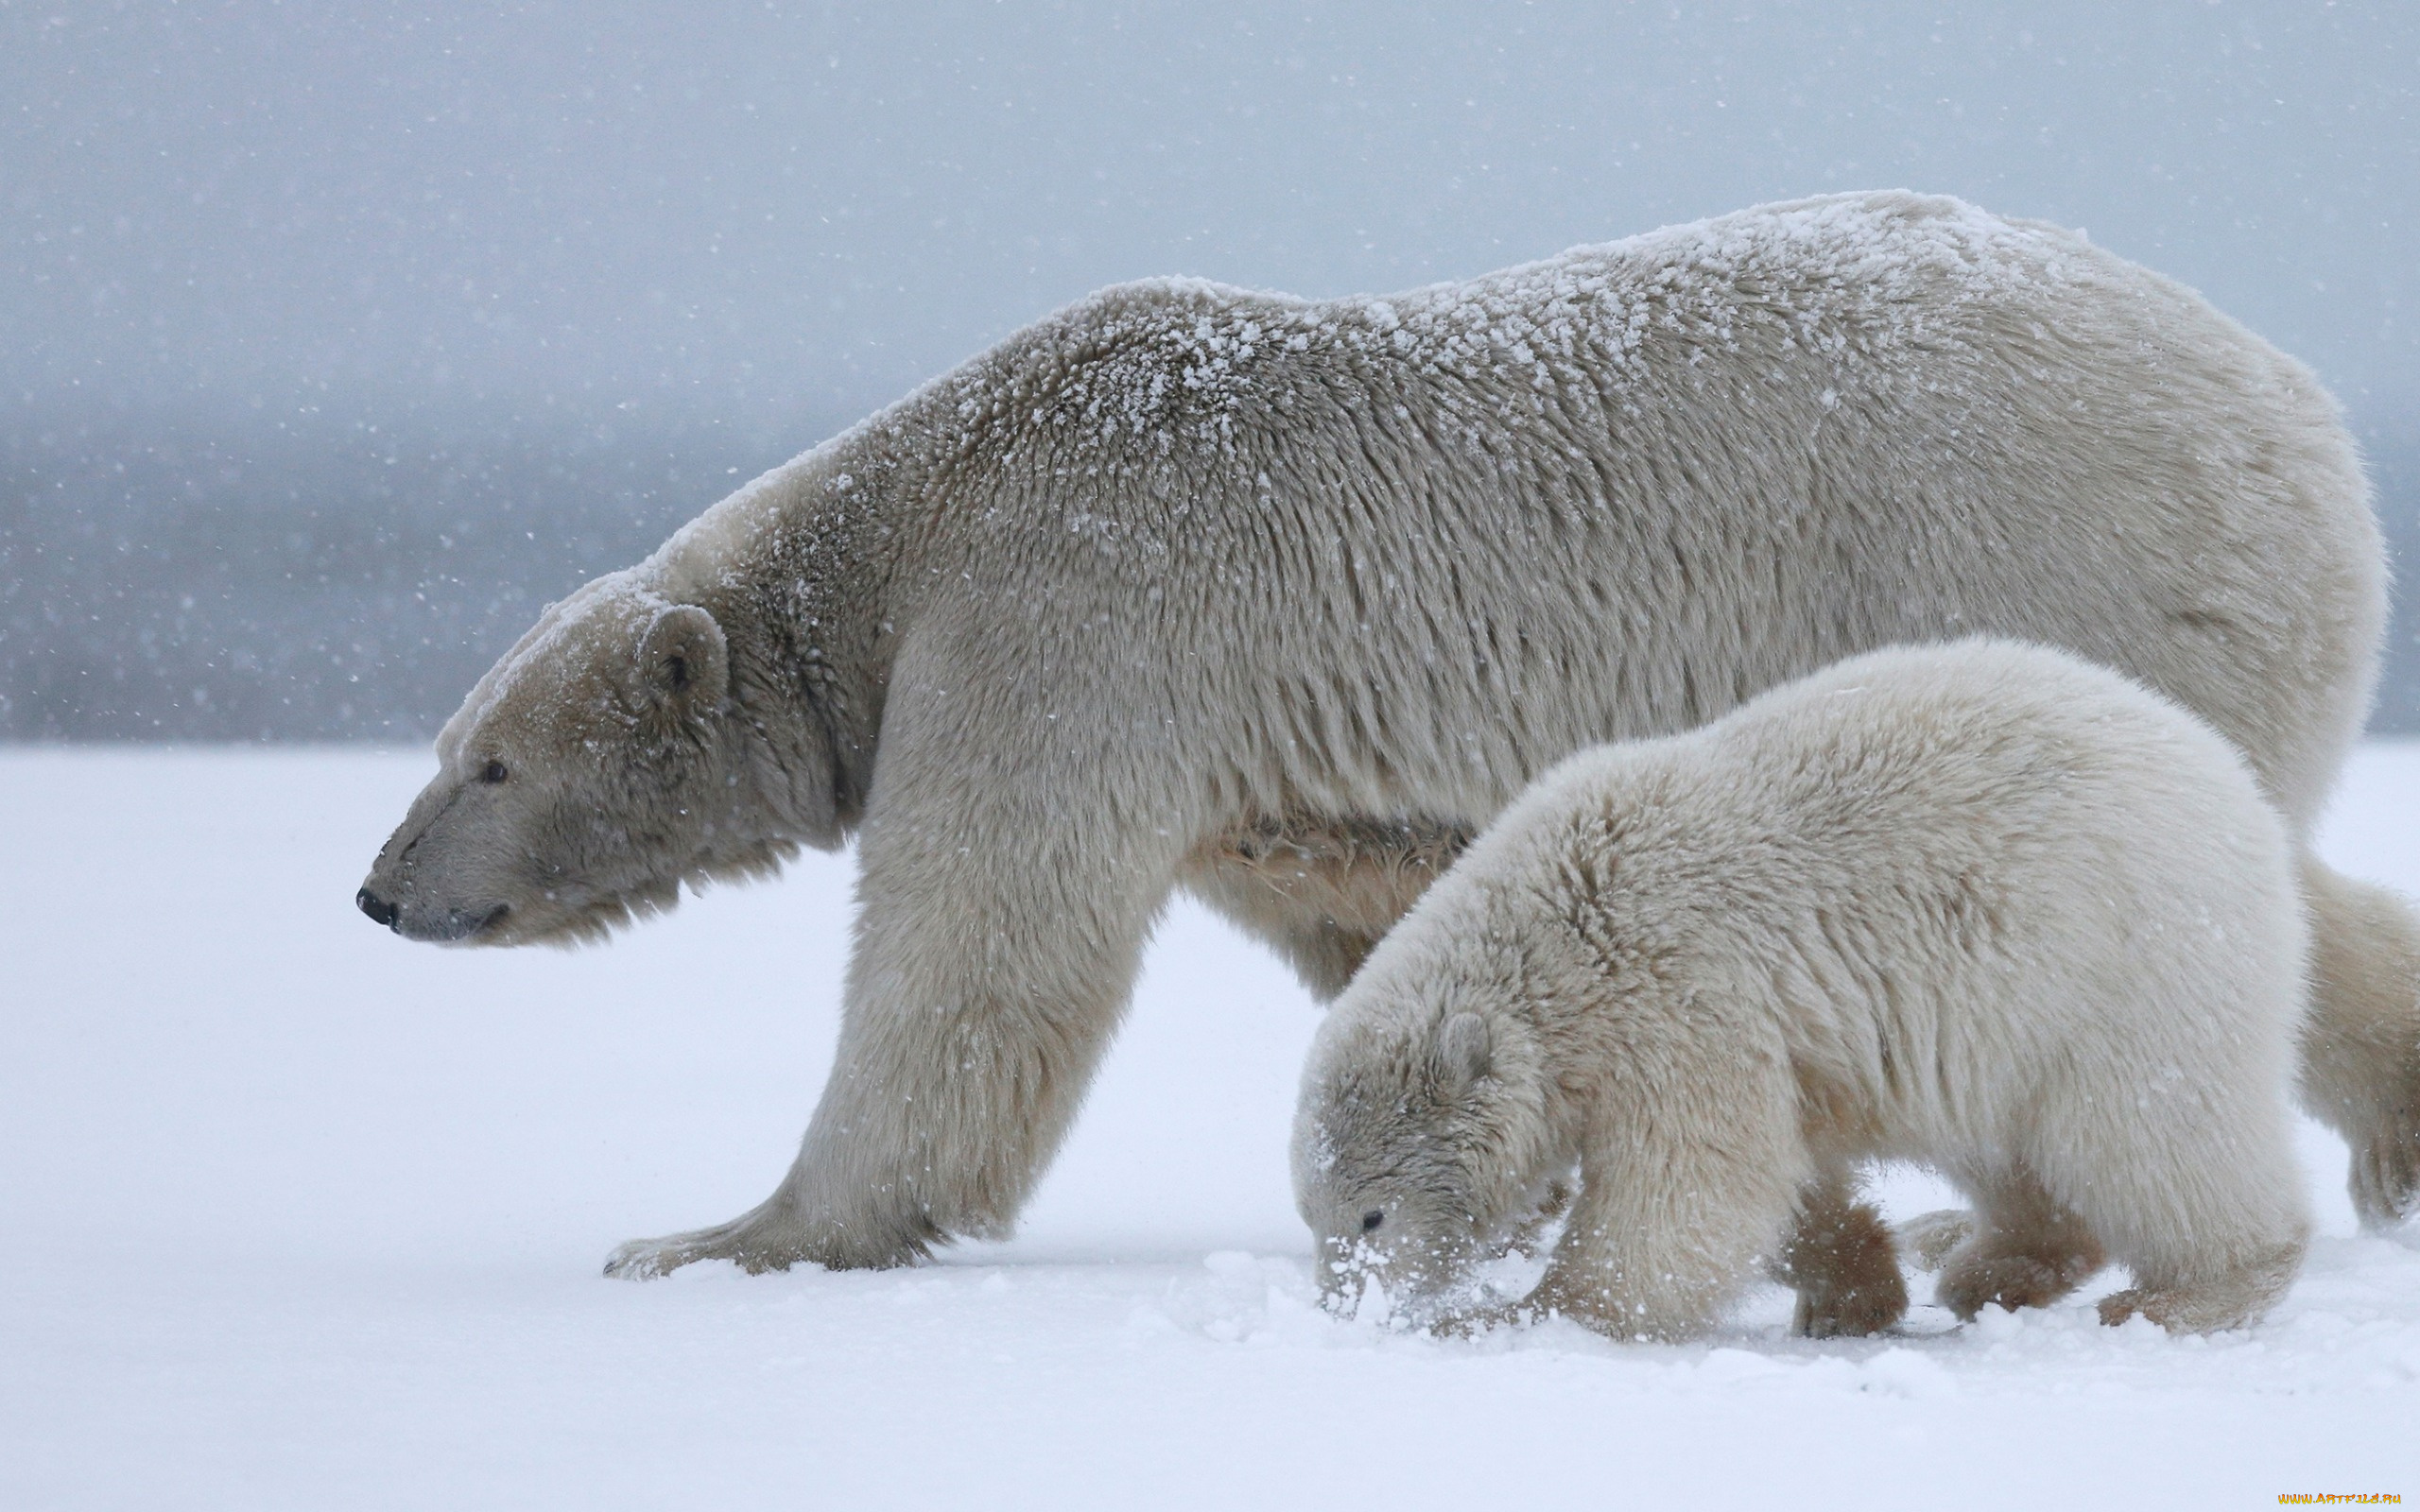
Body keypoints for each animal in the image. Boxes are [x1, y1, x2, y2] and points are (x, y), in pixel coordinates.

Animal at [357, 195, 2420, 1277]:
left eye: (485, 759)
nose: (377, 891)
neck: (921, 513)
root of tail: (2303, 414)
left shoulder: (1060, 624)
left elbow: (973, 958)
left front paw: (721, 1234)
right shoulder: (1258, 770)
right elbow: (1376, 936)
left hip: (2072, 564)